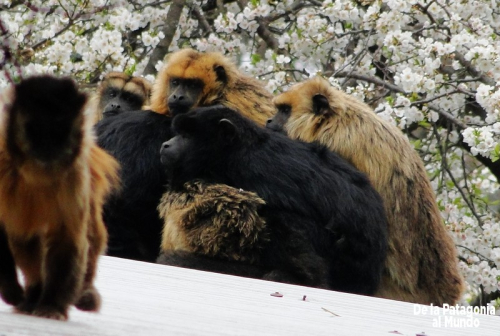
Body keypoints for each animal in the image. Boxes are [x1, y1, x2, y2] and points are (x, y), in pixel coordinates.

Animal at [0, 75, 120, 320]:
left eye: (59, 130)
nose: (48, 148)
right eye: (36, 129)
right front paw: (13, 291)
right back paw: (33, 292)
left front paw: (51, 305)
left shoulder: (74, 175)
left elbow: (67, 238)